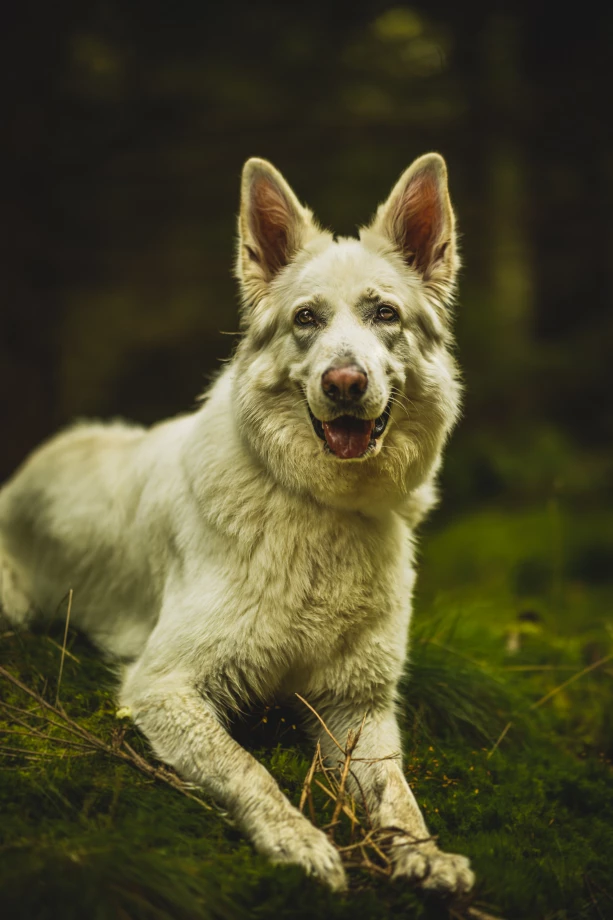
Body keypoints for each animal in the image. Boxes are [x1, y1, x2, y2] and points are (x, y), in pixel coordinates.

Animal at [0, 155, 474, 896]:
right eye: (306, 318)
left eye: (384, 314)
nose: (344, 383)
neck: (320, 508)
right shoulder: (162, 685)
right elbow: (245, 768)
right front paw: (296, 839)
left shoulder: (358, 706)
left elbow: (396, 789)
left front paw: (424, 852)